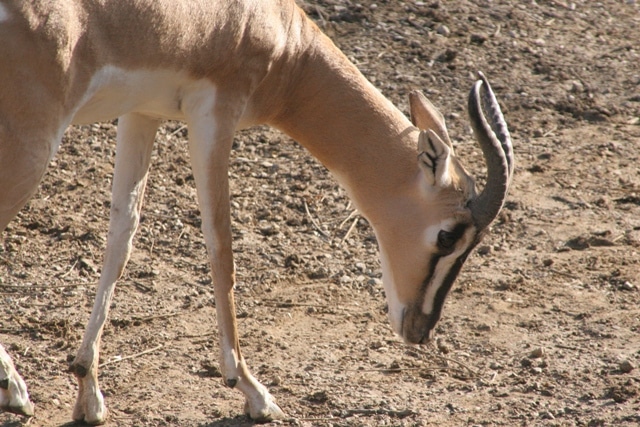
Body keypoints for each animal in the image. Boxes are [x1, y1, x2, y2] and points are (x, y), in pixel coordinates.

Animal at [0, 0, 514, 423]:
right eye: (449, 235)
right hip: (32, 143)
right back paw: (14, 388)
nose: (420, 330)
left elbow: (122, 237)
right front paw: (252, 389)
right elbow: (221, 248)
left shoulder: (142, 113)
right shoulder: (215, 115)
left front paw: (88, 389)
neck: (275, 33)